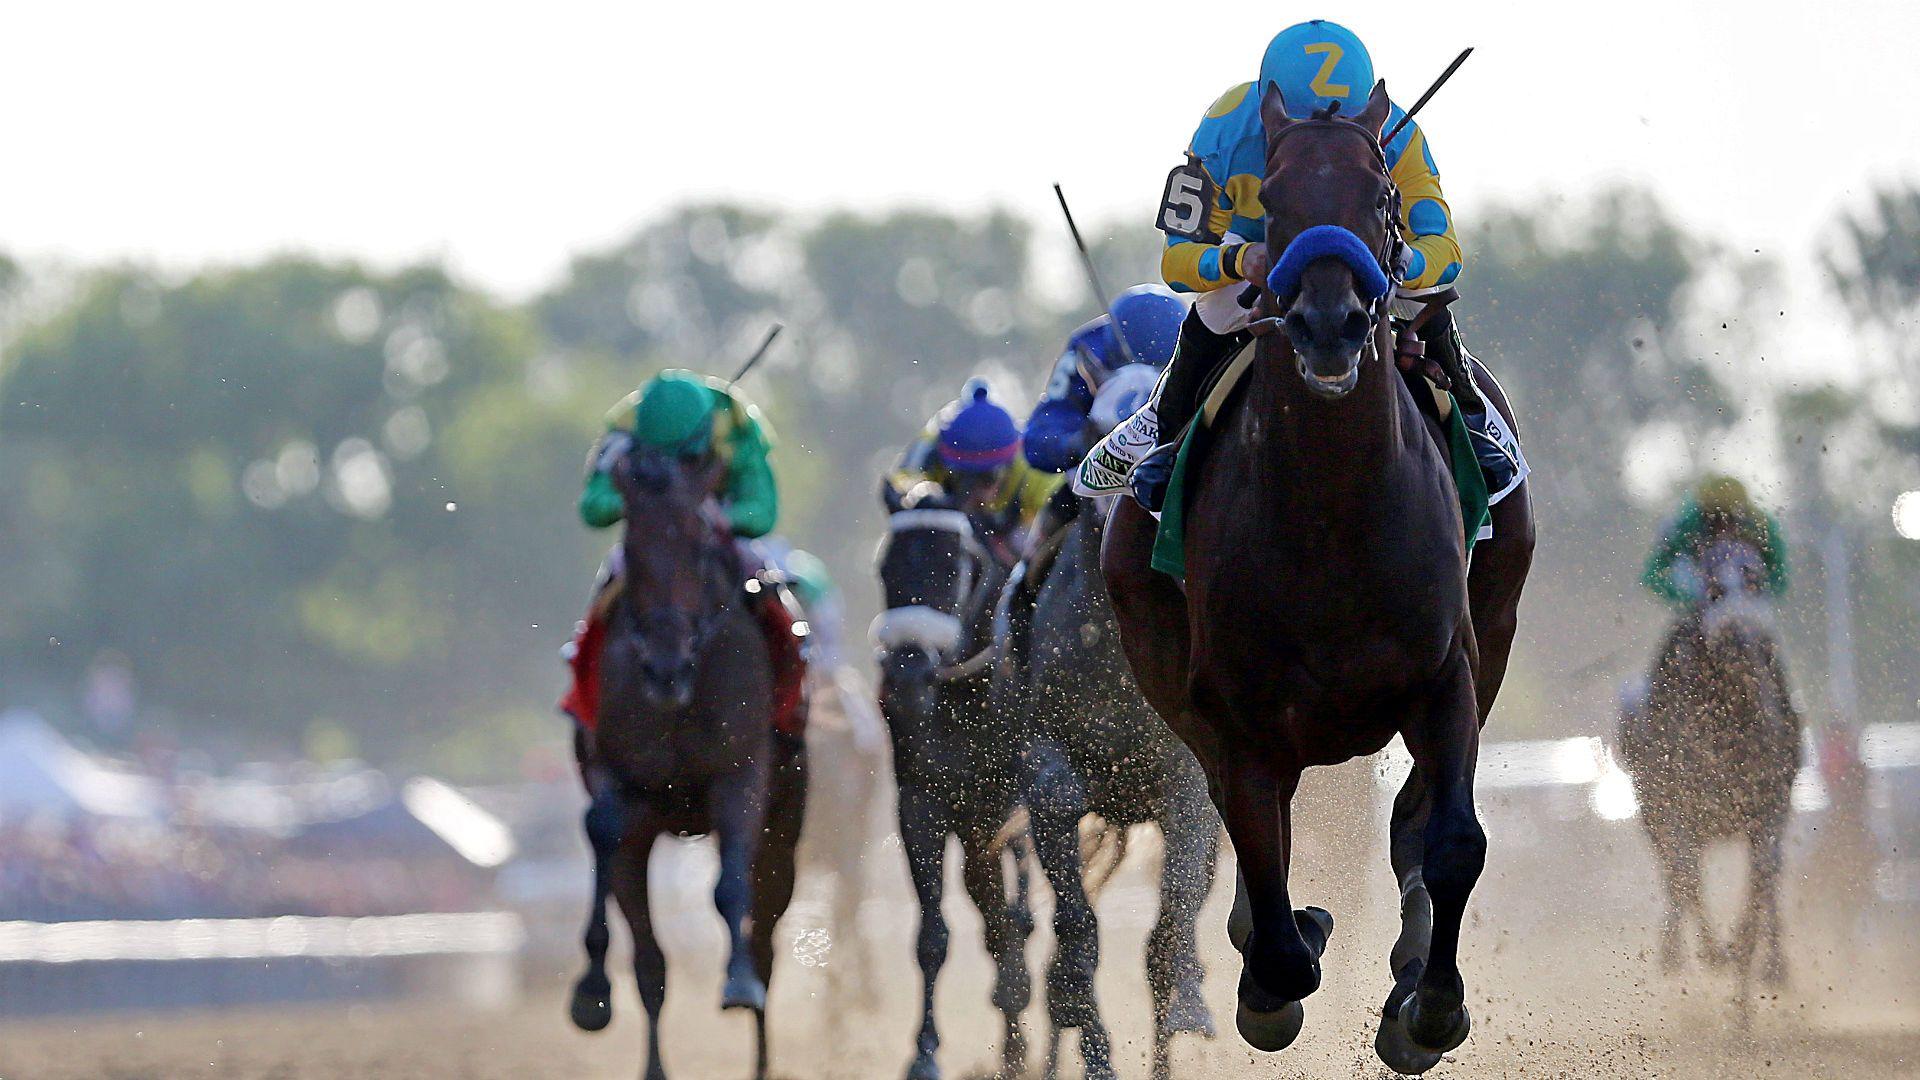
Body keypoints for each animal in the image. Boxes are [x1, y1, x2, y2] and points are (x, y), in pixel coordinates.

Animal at [568, 445, 810, 1076]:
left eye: (701, 543)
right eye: (631, 545)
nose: (665, 667)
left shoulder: (740, 772)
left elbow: (730, 889)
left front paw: (738, 983)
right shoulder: (617, 772)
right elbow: (603, 828)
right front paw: (590, 991)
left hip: (786, 830)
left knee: (765, 938)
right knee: (651, 962)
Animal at [879, 495, 1044, 1076]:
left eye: (957, 568)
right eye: (885, 567)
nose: (906, 676)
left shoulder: (1005, 803)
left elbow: (1009, 918)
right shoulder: (920, 803)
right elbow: (934, 933)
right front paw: (924, 1053)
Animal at [998, 486, 1221, 1076]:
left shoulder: (1187, 778)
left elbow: (1172, 919)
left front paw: (1188, 1005)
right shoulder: (1047, 758)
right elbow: (1077, 934)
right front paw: (1090, 1039)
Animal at [1105, 79, 1536, 1068]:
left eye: (1381, 200)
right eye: (1271, 204)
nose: (1331, 323)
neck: (1336, 514)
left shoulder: (1447, 673)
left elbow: (1452, 843)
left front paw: (1429, 1007)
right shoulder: (1235, 716)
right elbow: (1266, 882)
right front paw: (1276, 973)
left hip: (1494, 628)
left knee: (1414, 820)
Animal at [1620, 534, 1797, 1006]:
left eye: (1754, 580)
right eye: (1713, 588)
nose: (1735, 631)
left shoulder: (1768, 803)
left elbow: (1762, 880)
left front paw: (1748, 961)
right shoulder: (1675, 802)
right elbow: (1685, 875)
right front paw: (1711, 952)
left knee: (1767, 879)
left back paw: (1770, 967)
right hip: (1654, 812)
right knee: (1677, 875)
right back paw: (1676, 954)